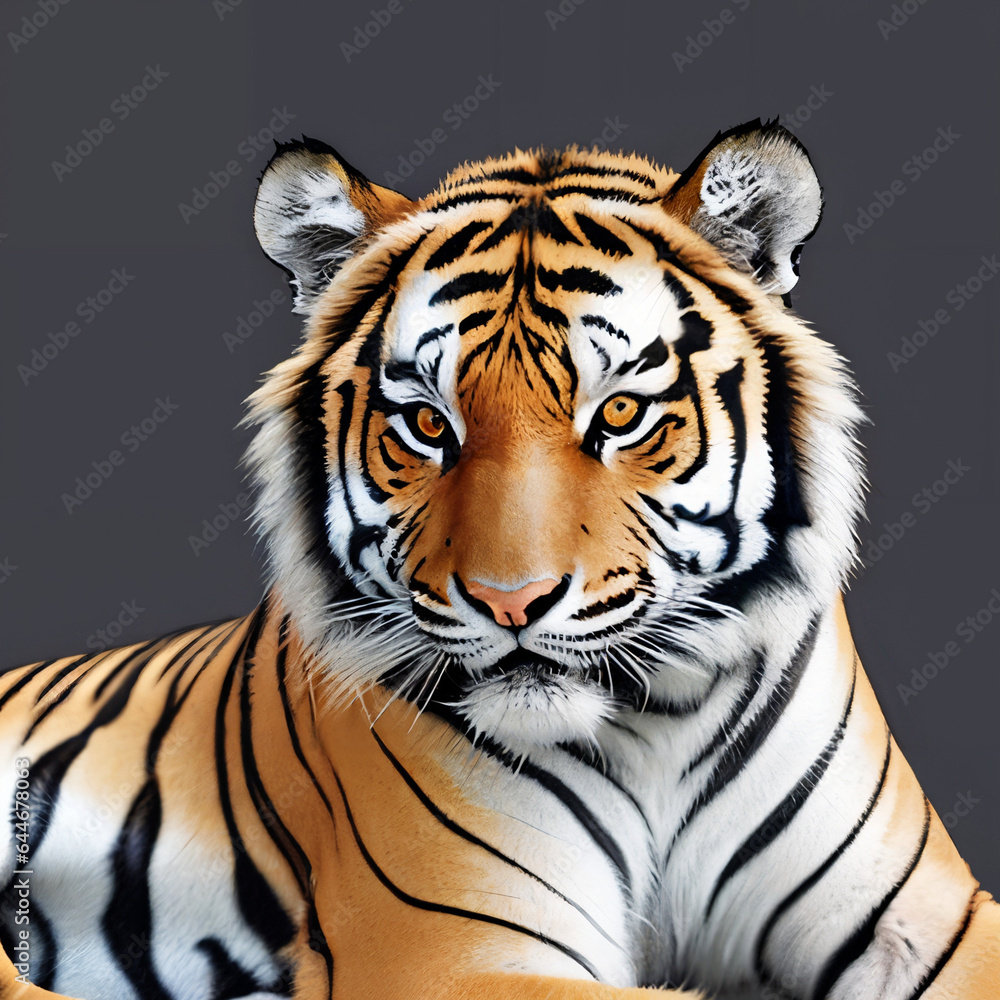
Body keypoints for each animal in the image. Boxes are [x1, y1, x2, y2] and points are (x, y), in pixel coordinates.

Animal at [1, 119, 998, 1000]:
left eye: (621, 414)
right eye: (427, 423)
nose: (510, 602)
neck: (661, 723)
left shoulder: (929, 918)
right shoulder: (453, 955)